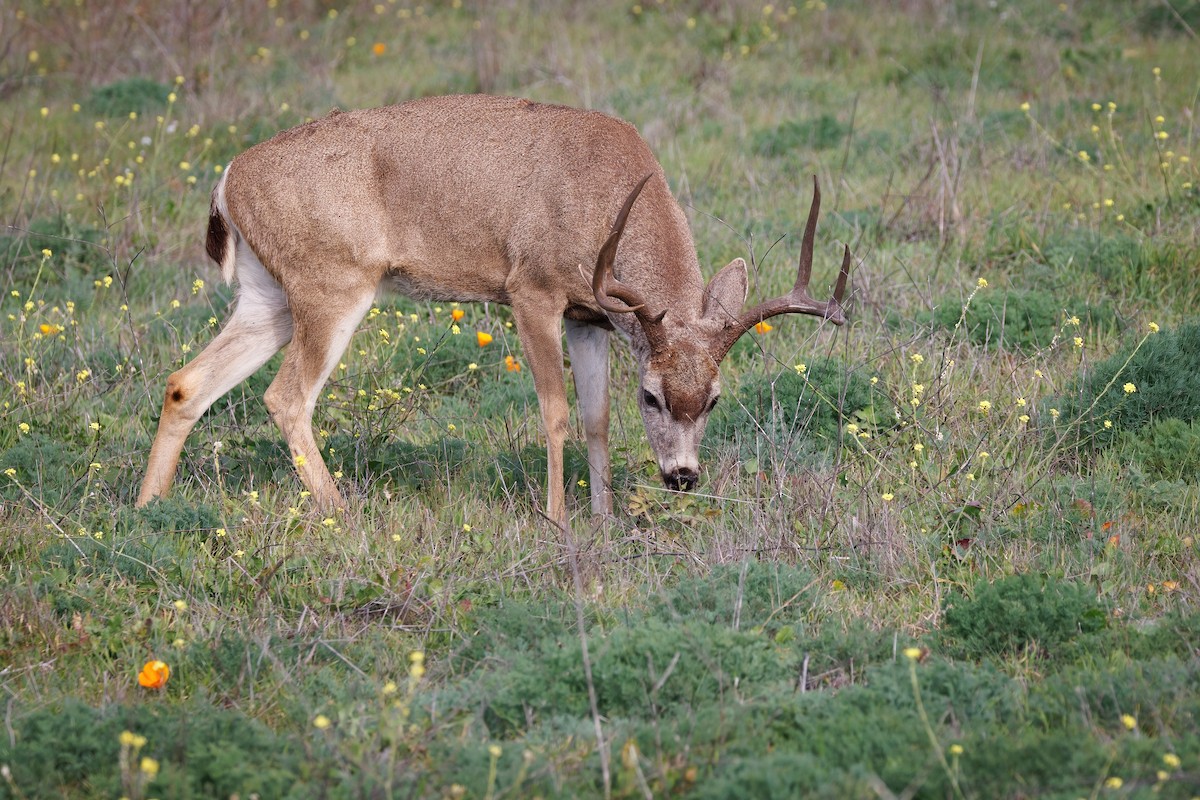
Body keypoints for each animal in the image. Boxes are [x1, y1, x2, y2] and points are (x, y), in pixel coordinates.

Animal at [136, 94, 849, 528]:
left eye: (714, 399)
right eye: (651, 395)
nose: (681, 477)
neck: (607, 193)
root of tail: (228, 178)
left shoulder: (590, 316)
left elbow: (594, 417)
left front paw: (604, 519)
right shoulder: (531, 290)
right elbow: (555, 411)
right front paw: (560, 520)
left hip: (269, 297)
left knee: (187, 383)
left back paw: (149, 511)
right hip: (332, 285)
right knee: (285, 397)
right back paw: (347, 514)